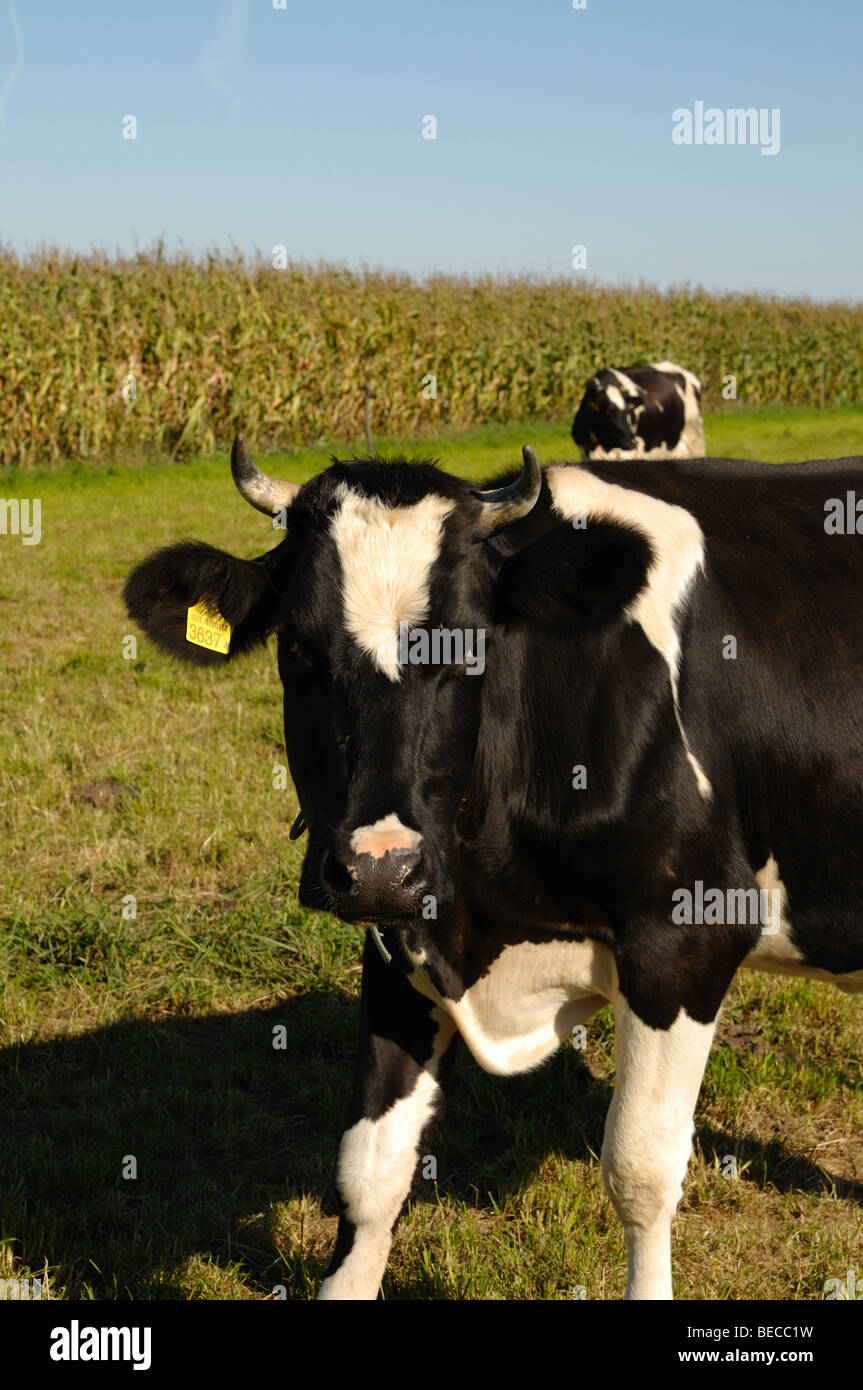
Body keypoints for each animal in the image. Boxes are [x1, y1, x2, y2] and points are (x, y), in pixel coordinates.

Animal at [124, 436, 861, 1301]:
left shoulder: (686, 935)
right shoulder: (404, 937)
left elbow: (640, 1170)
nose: (380, 867)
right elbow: (369, 1169)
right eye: (296, 649)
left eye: (468, 648)